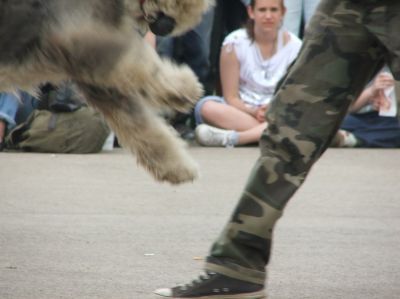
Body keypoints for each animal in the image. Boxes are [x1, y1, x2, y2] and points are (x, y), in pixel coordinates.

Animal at [0, 0, 214, 185]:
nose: (168, 28)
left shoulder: (99, 79)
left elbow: (141, 127)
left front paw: (177, 168)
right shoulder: (89, 42)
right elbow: (143, 62)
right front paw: (184, 87)